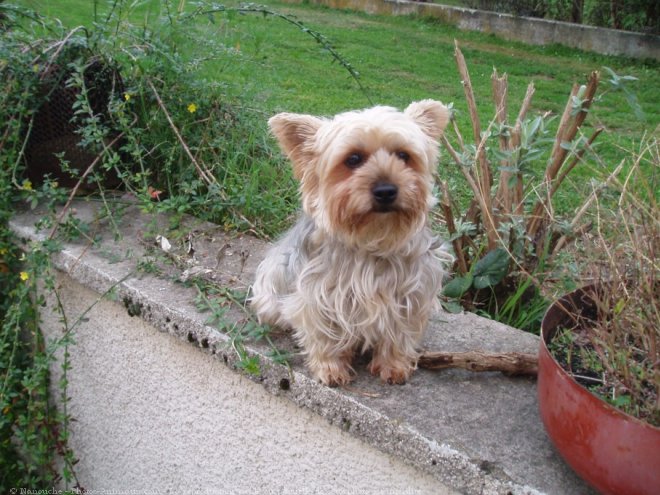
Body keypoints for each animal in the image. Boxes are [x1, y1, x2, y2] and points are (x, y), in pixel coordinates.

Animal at [250, 101, 452, 388]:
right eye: (353, 159)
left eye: (403, 155)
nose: (386, 190)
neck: (372, 240)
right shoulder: (317, 296)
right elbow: (324, 335)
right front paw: (331, 368)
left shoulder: (413, 295)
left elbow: (399, 333)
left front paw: (394, 365)